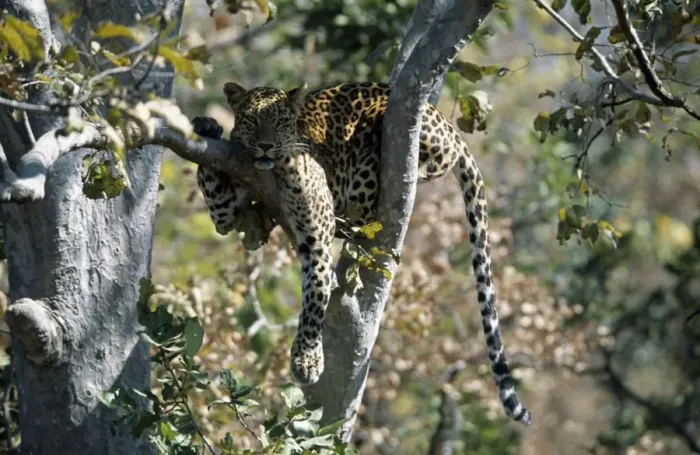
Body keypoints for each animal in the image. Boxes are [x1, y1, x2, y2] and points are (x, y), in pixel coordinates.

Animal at [193, 81, 532, 425]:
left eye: (281, 121)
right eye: (250, 120)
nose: (265, 146)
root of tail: (445, 122)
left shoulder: (316, 231)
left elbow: (315, 294)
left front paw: (307, 359)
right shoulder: (227, 209)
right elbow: (215, 193)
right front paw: (208, 127)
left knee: (367, 209)